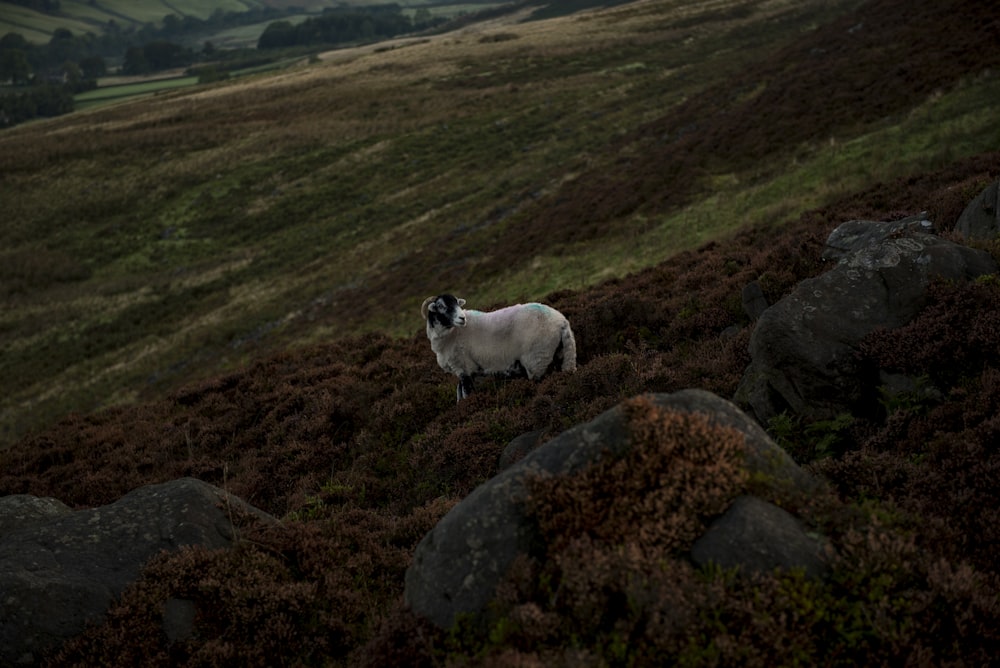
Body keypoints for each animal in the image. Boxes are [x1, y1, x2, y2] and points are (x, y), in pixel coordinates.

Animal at [422, 294, 580, 402]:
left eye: (457, 304)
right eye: (441, 306)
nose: (462, 318)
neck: (450, 334)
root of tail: (562, 322)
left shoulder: (464, 367)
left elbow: (465, 393)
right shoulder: (467, 371)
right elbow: (459, 393)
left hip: (537, 360)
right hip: (560, 354)